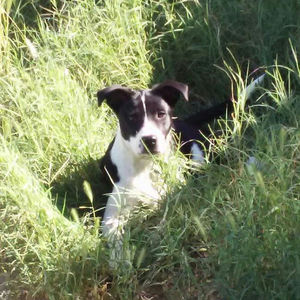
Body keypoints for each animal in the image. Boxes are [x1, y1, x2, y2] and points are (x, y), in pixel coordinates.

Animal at [97, 75, 264, 239]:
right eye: (132, 117)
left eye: (161, 114)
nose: (149, 140)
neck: (147, 165)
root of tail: (184, 120)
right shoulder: (113, 211)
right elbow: (113, 234)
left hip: (203, 153)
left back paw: (252, 165)